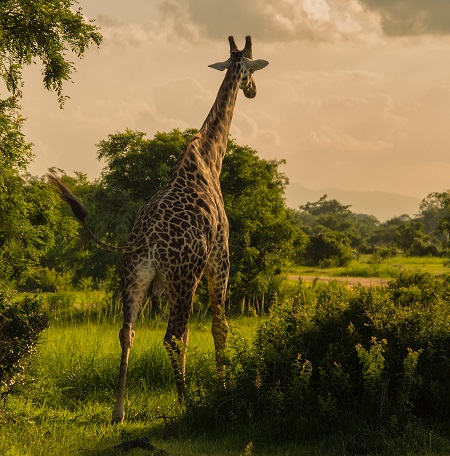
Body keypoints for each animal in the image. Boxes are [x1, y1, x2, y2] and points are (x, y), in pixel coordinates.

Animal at [49, 35, 268, 424]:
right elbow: (220, 326)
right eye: (251, 68)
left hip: (133, 278)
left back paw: (119, 410)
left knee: (127, 332)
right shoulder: (220, 257)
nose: (253, 90)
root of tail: (147, 241)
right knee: (174, 336)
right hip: (184, 277)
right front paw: (223, 389)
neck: (210, 157)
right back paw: (185, 403)